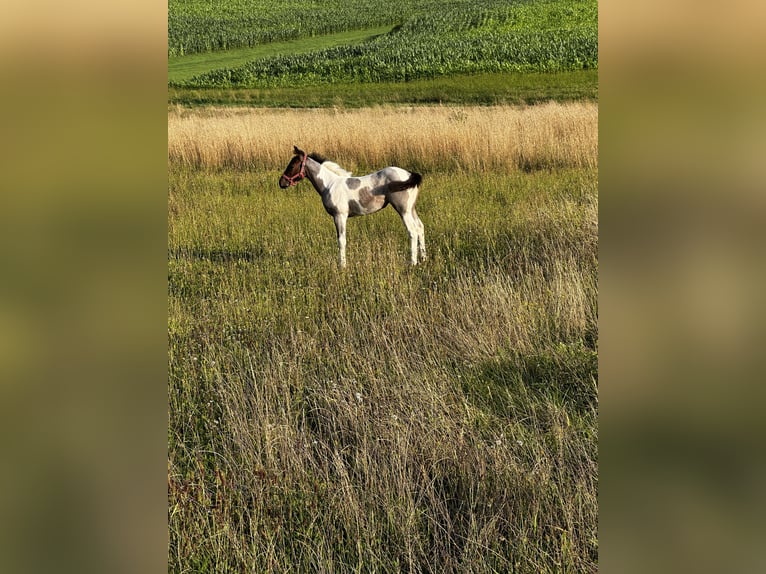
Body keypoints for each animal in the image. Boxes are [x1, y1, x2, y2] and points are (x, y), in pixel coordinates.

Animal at [280, 146, 426, 268]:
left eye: (292, 165)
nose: (281, 182)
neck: (330, 184)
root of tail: (409, 174)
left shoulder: (340, 216)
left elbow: (341, 241)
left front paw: (342, 266)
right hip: (411, 209)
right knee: (420, 227)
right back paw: (423, 258)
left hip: (403, 210)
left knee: (412, 231)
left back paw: (412, 263)